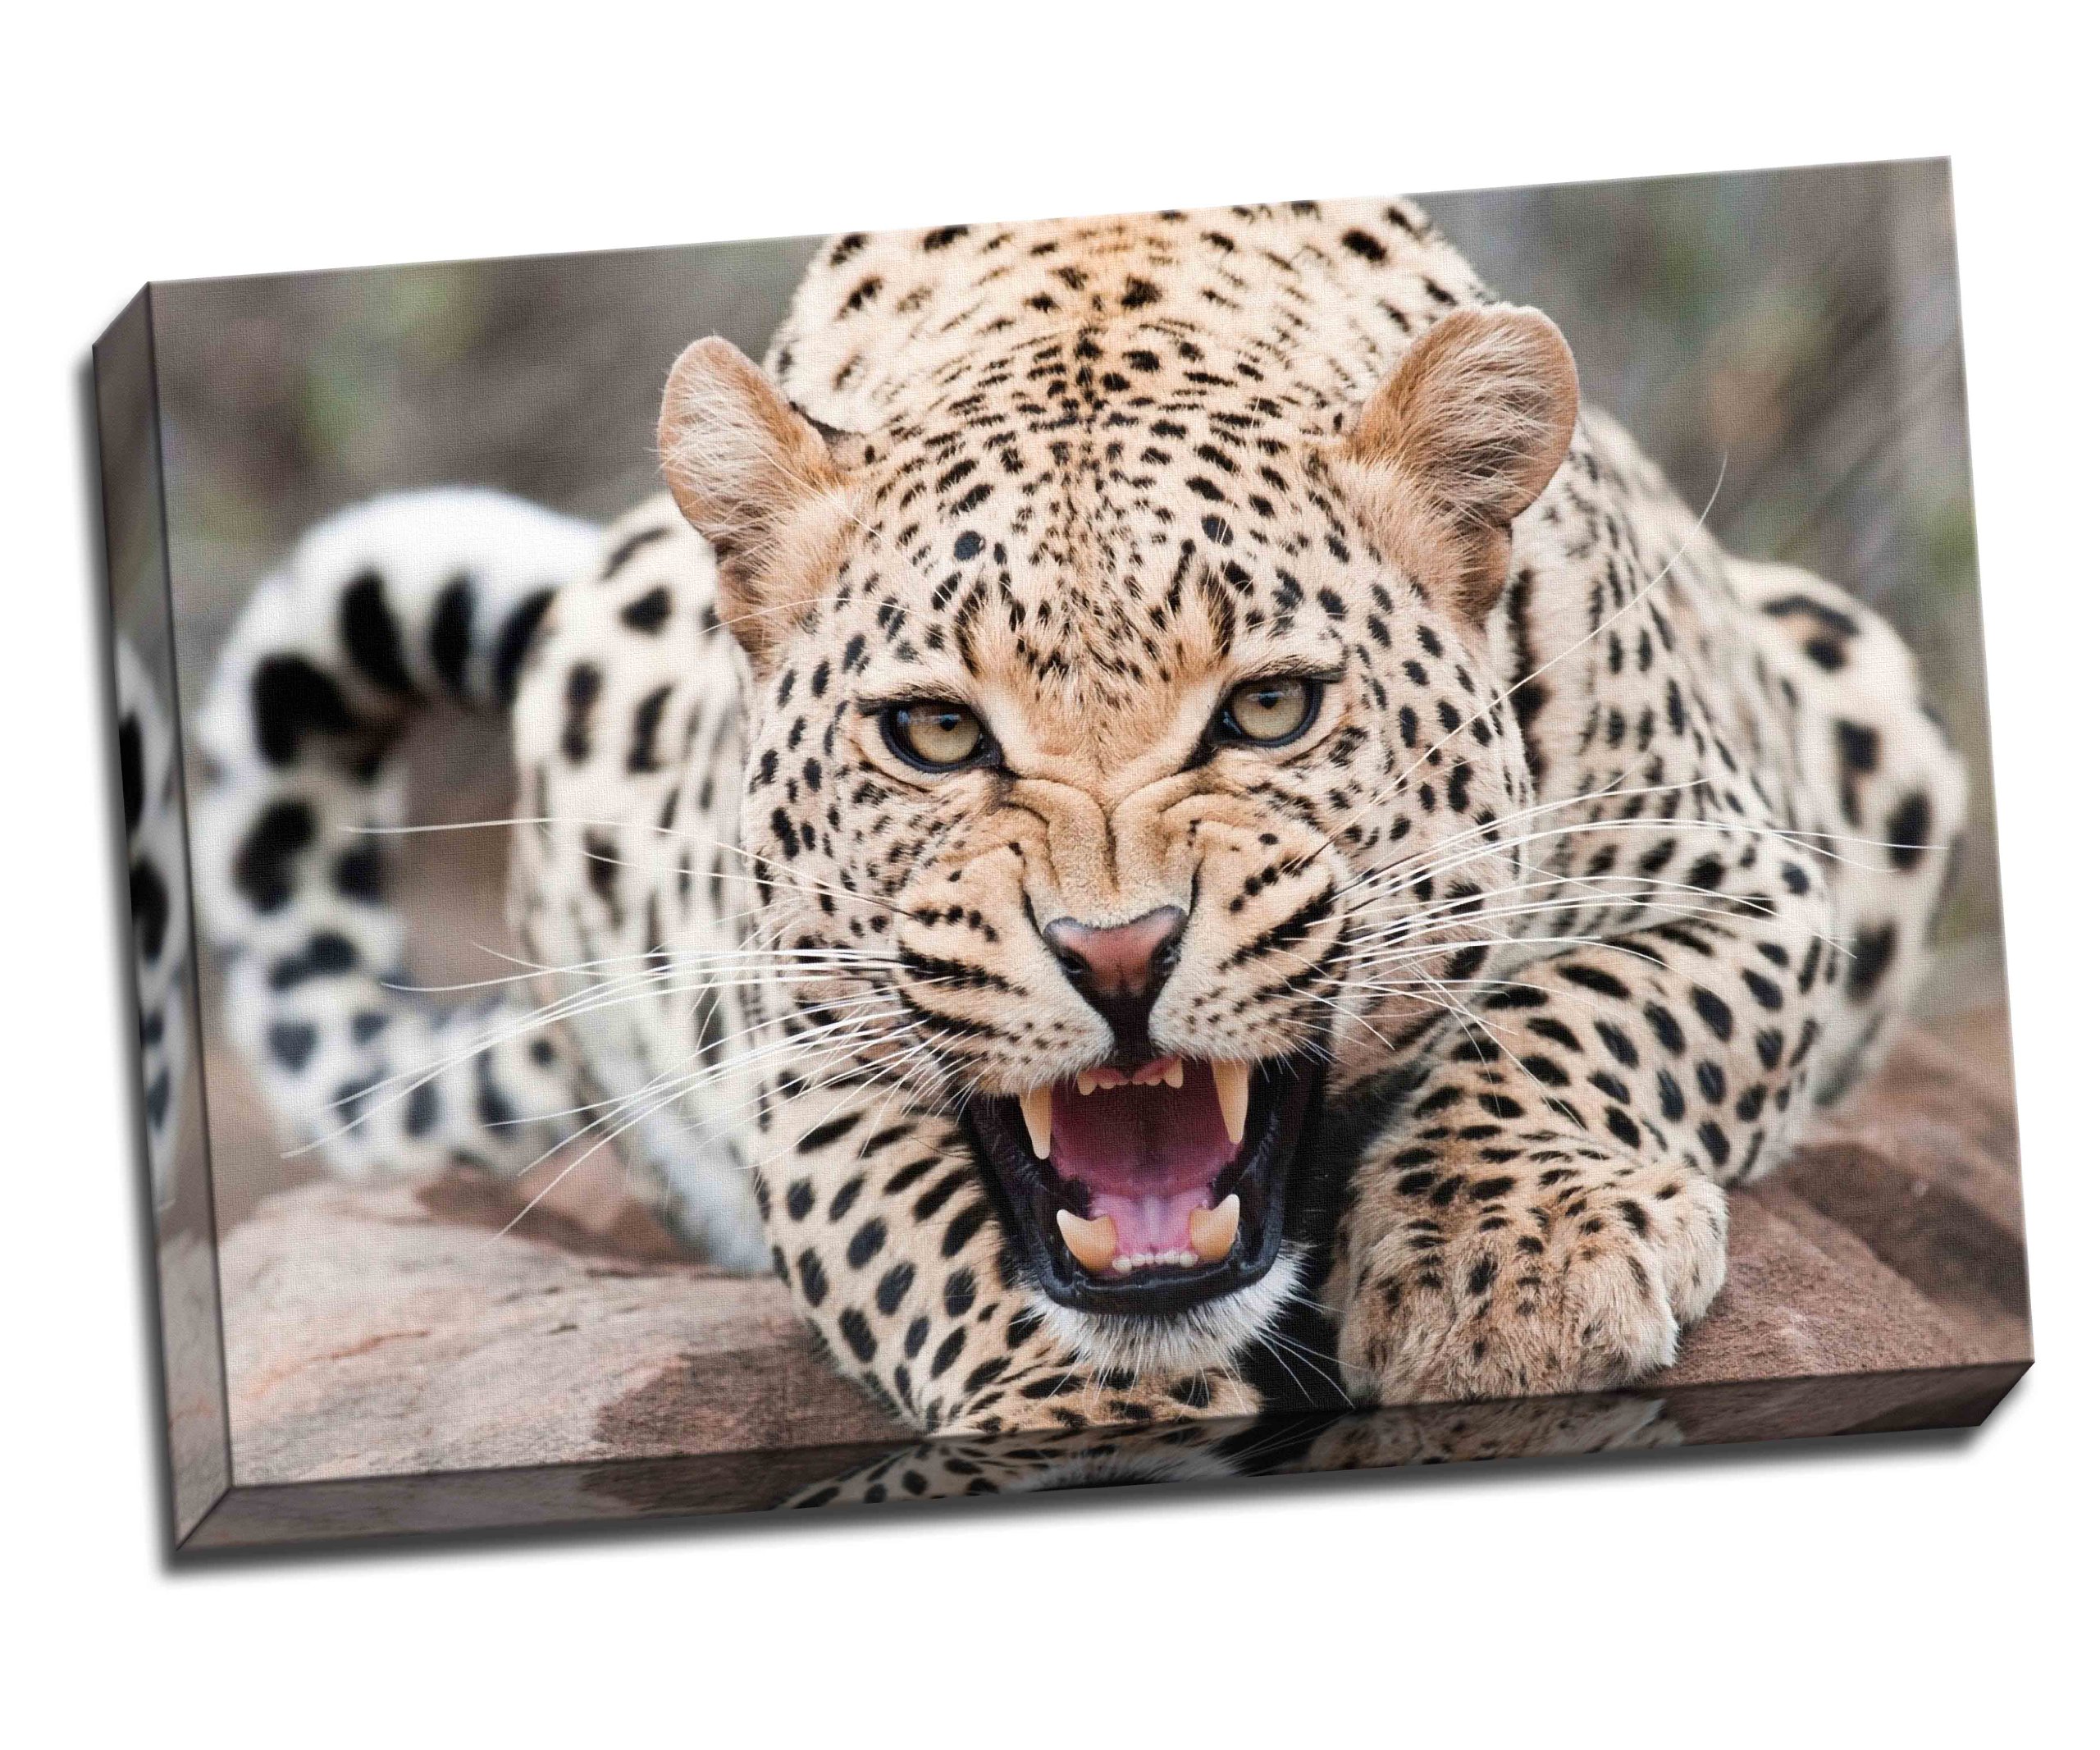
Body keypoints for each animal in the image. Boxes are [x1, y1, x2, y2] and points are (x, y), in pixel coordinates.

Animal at [194, 197, 1964, 1445]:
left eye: (1269, 708)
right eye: (932, 732)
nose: (1117, 955)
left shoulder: (1745, 878)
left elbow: (1577, 1011)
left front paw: (1504, 1269)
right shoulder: (800, 1045)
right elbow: (908, 1225)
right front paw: (1095, 1403)